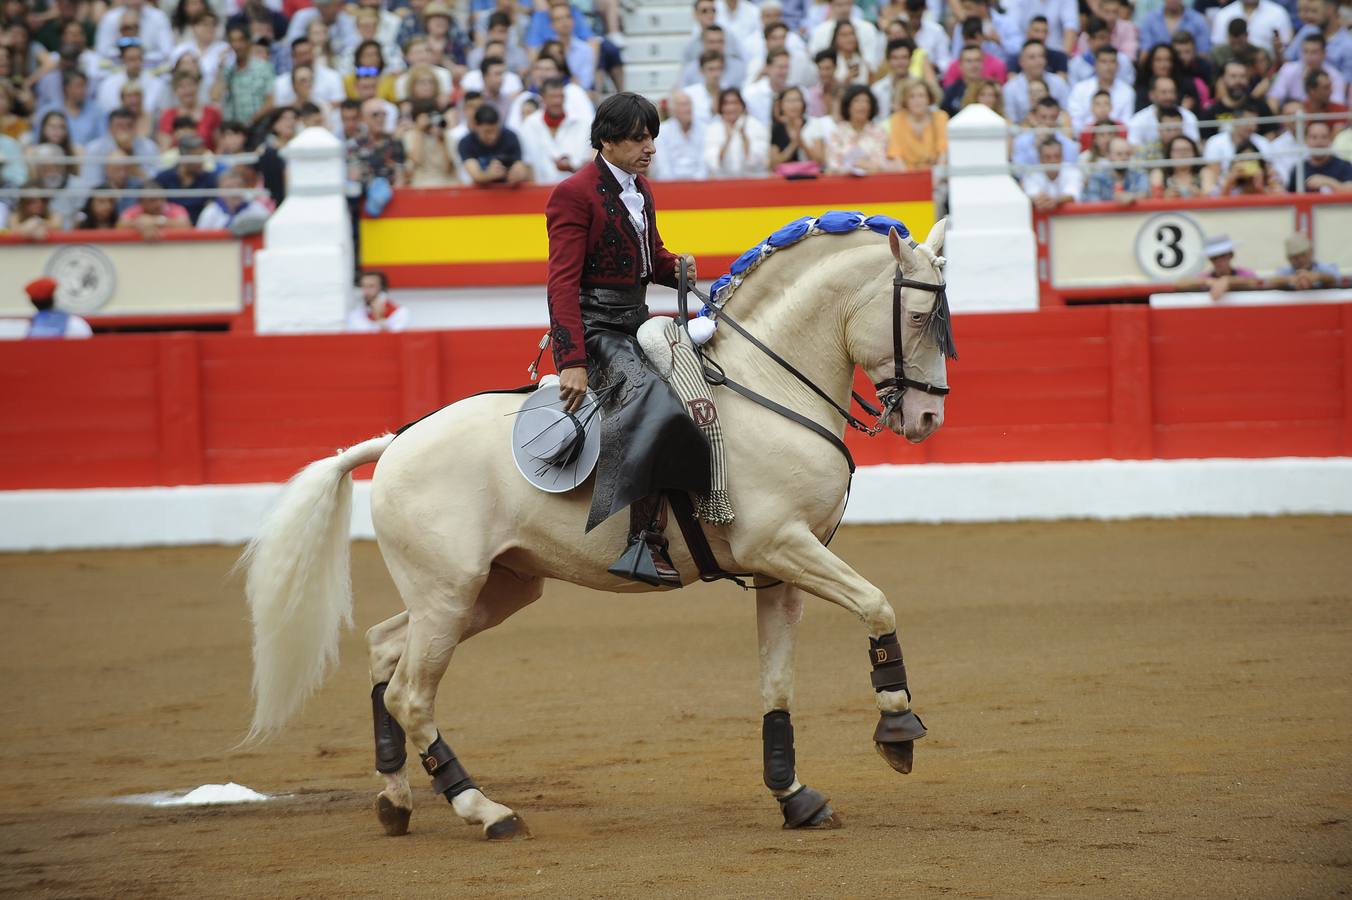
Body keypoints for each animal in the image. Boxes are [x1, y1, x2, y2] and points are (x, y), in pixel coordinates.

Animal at [246, 213, 962, 837]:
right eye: (919, 316)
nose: (928, 419)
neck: (766, 383)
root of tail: (395, 442)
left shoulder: (779, 570)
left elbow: (777, 681)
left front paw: (795, 796)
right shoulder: (781, 545)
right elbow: (877, 602)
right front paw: (898, 732)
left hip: (488, 591)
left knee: (383, 649)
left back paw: (395, 801)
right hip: (448, 594)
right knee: (410, 695)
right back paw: (486, 811)